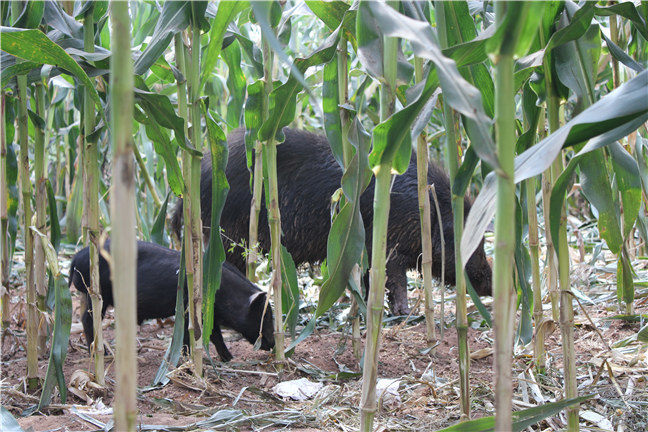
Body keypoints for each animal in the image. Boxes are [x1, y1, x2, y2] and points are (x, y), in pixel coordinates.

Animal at [67, 240, 274, 362]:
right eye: (263, 317)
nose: (272, 343)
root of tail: (76, 258)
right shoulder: (191, 309)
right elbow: (205, 334)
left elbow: (213, 334)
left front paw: (227, 359)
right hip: (96, 293)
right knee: (87, 320)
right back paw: (102, 354)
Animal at [171, 127, 492, 314]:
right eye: (472, 242)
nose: (491, 283)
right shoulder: (387, 245)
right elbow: (394, 280)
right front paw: (404, 313)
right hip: (229, 237)